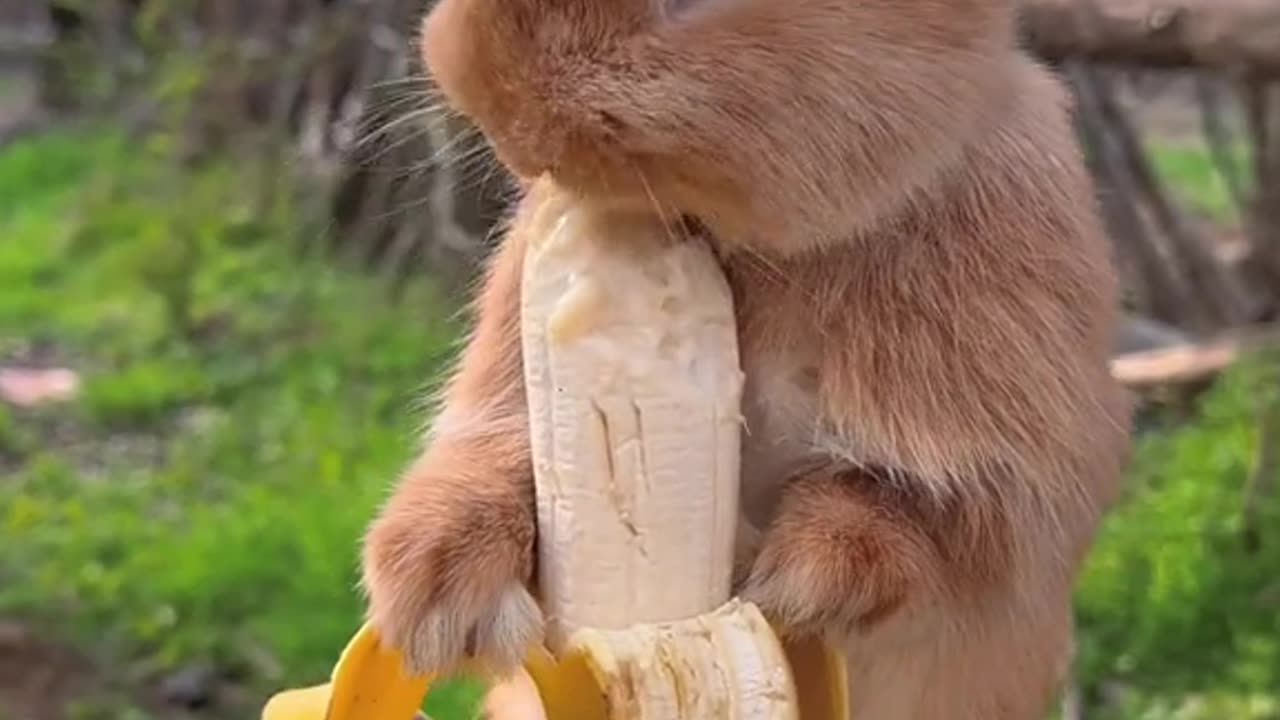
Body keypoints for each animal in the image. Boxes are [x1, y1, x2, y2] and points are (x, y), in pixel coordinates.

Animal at [358, 1, 1131, 712]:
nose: (479, 84)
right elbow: (488, 450)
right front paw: (433, 601)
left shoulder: (1001, 475)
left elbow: (916, 522)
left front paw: (803, 585)